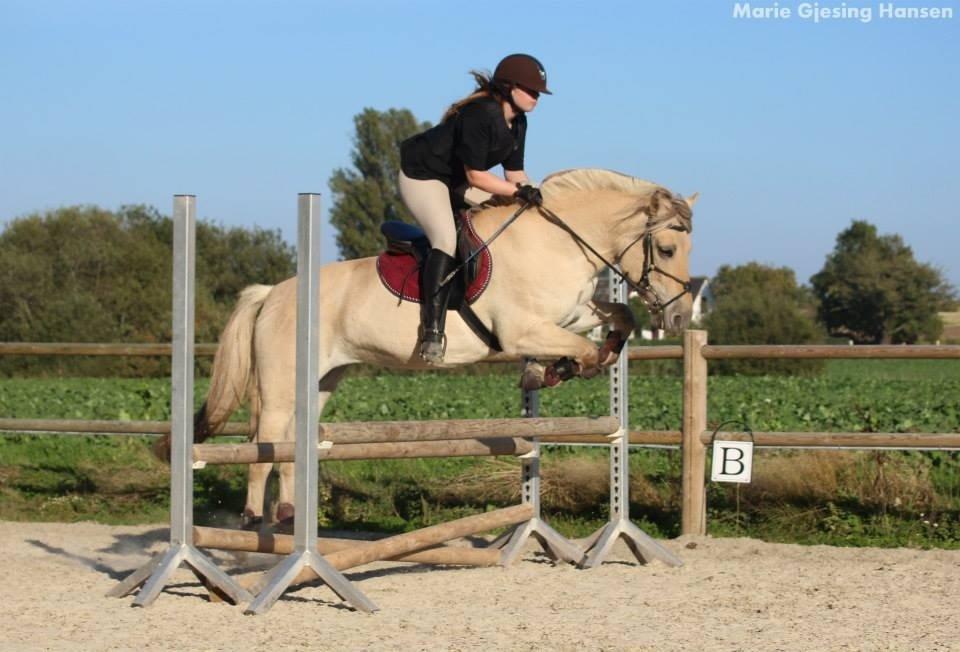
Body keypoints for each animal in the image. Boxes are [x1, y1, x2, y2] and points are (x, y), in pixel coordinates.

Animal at [161, 167, 692, 524]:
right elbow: (579, 348)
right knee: (262, 445)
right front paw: (557, 369)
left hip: (320, 382)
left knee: (291, 442)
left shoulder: (569, 314)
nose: (681, 317)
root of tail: (272, 292)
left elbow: (618, 317)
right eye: (667, 249)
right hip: (279, 387)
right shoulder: (522, 329)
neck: (557, 241)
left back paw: (289, 513)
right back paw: (255, 521)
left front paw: (566, 365)